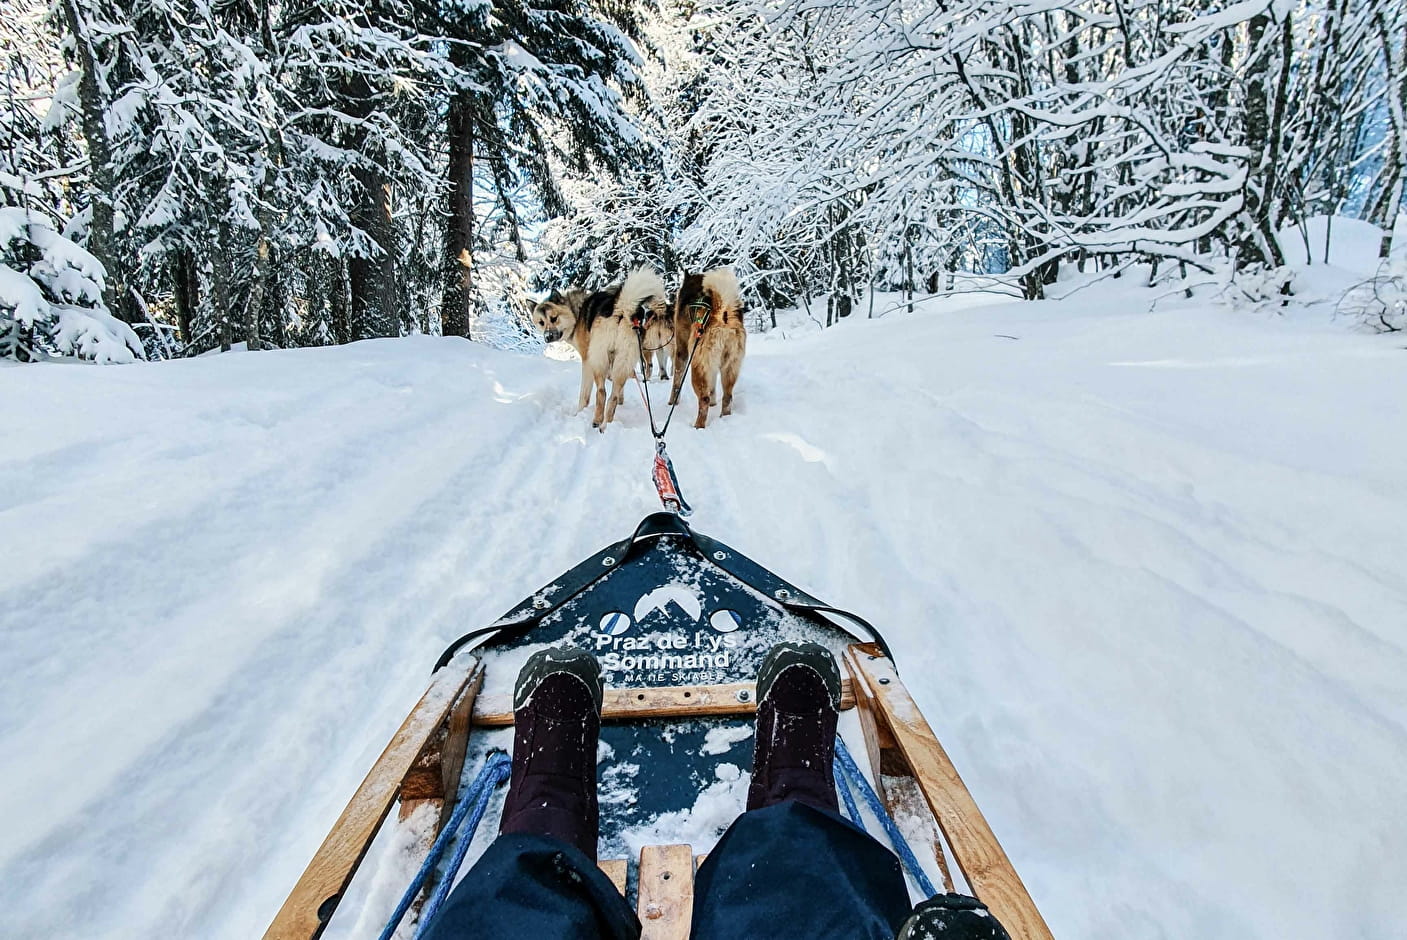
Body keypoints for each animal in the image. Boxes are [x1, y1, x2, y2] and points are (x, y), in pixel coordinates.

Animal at [669, 264, 748, 424]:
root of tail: (723, 315)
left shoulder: (681, 350)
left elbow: (676, 380)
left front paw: (673, 401)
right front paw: (713, 402)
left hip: (697, 366)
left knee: (703, 399)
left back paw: (698, 425)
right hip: (729, 366)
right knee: (727, 396)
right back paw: (725, 417)